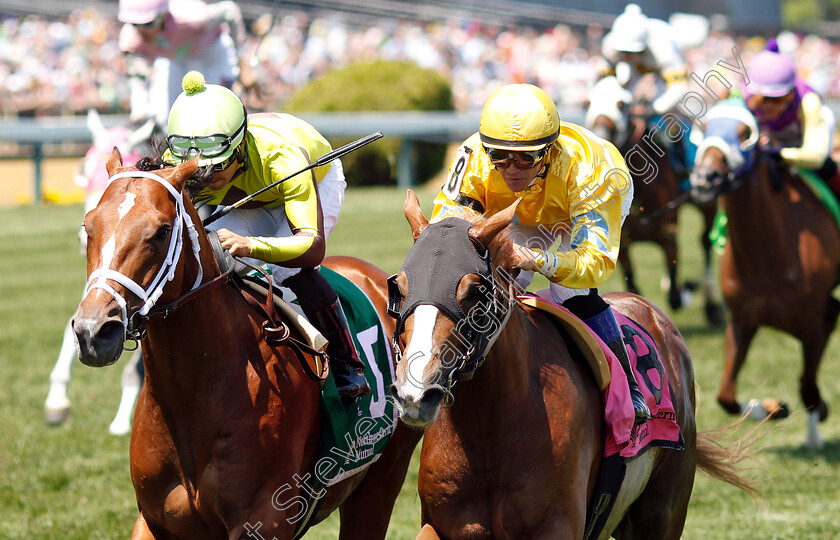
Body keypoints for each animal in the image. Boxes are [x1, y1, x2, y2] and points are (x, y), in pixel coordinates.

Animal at [43, 109, 154, 434]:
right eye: (87, 172)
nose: (84, 240)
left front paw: (123, 417)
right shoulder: (104, 281)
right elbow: (76, 324)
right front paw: (57, 399)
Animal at [72, 149, 420, 540]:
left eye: (162, 231)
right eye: (88, 226)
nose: (94, 330)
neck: (191, 397)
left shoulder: (264, 520)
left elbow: (309, 242)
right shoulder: (154, 519)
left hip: (380, 481)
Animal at [390, 191, 756, 540]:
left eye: (475, 290)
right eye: (400, 287)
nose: (415, 393)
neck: (489, 427)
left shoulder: (556, 526)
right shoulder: (441, 525)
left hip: (661, 513)